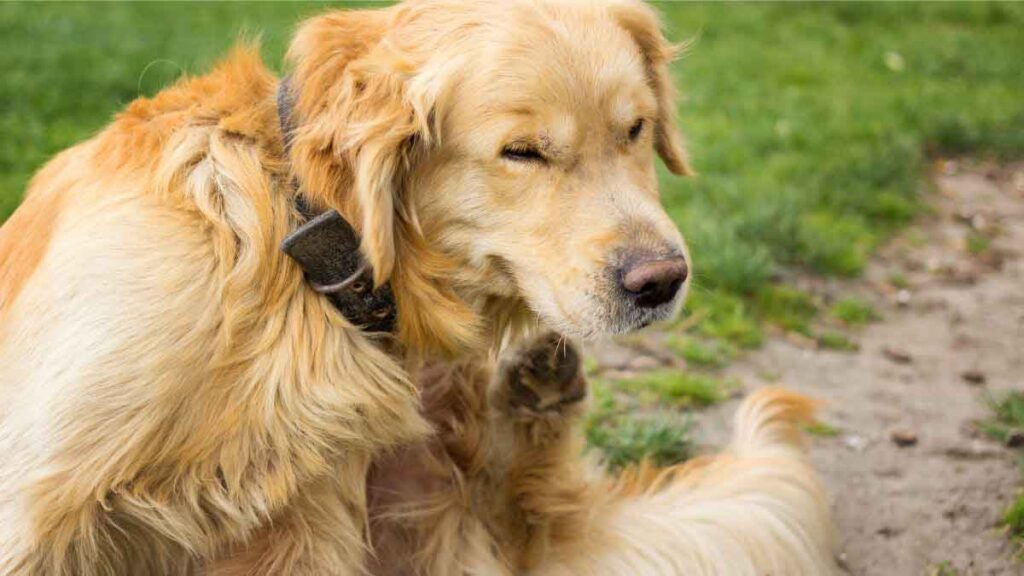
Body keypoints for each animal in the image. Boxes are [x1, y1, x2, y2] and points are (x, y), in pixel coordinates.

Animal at [0, 2, 831, 569]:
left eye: (636, 129)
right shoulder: (33, 496)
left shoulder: (316, 514)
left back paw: (536, 392)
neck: (297, 244)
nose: (662, 281)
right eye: (522, 152)